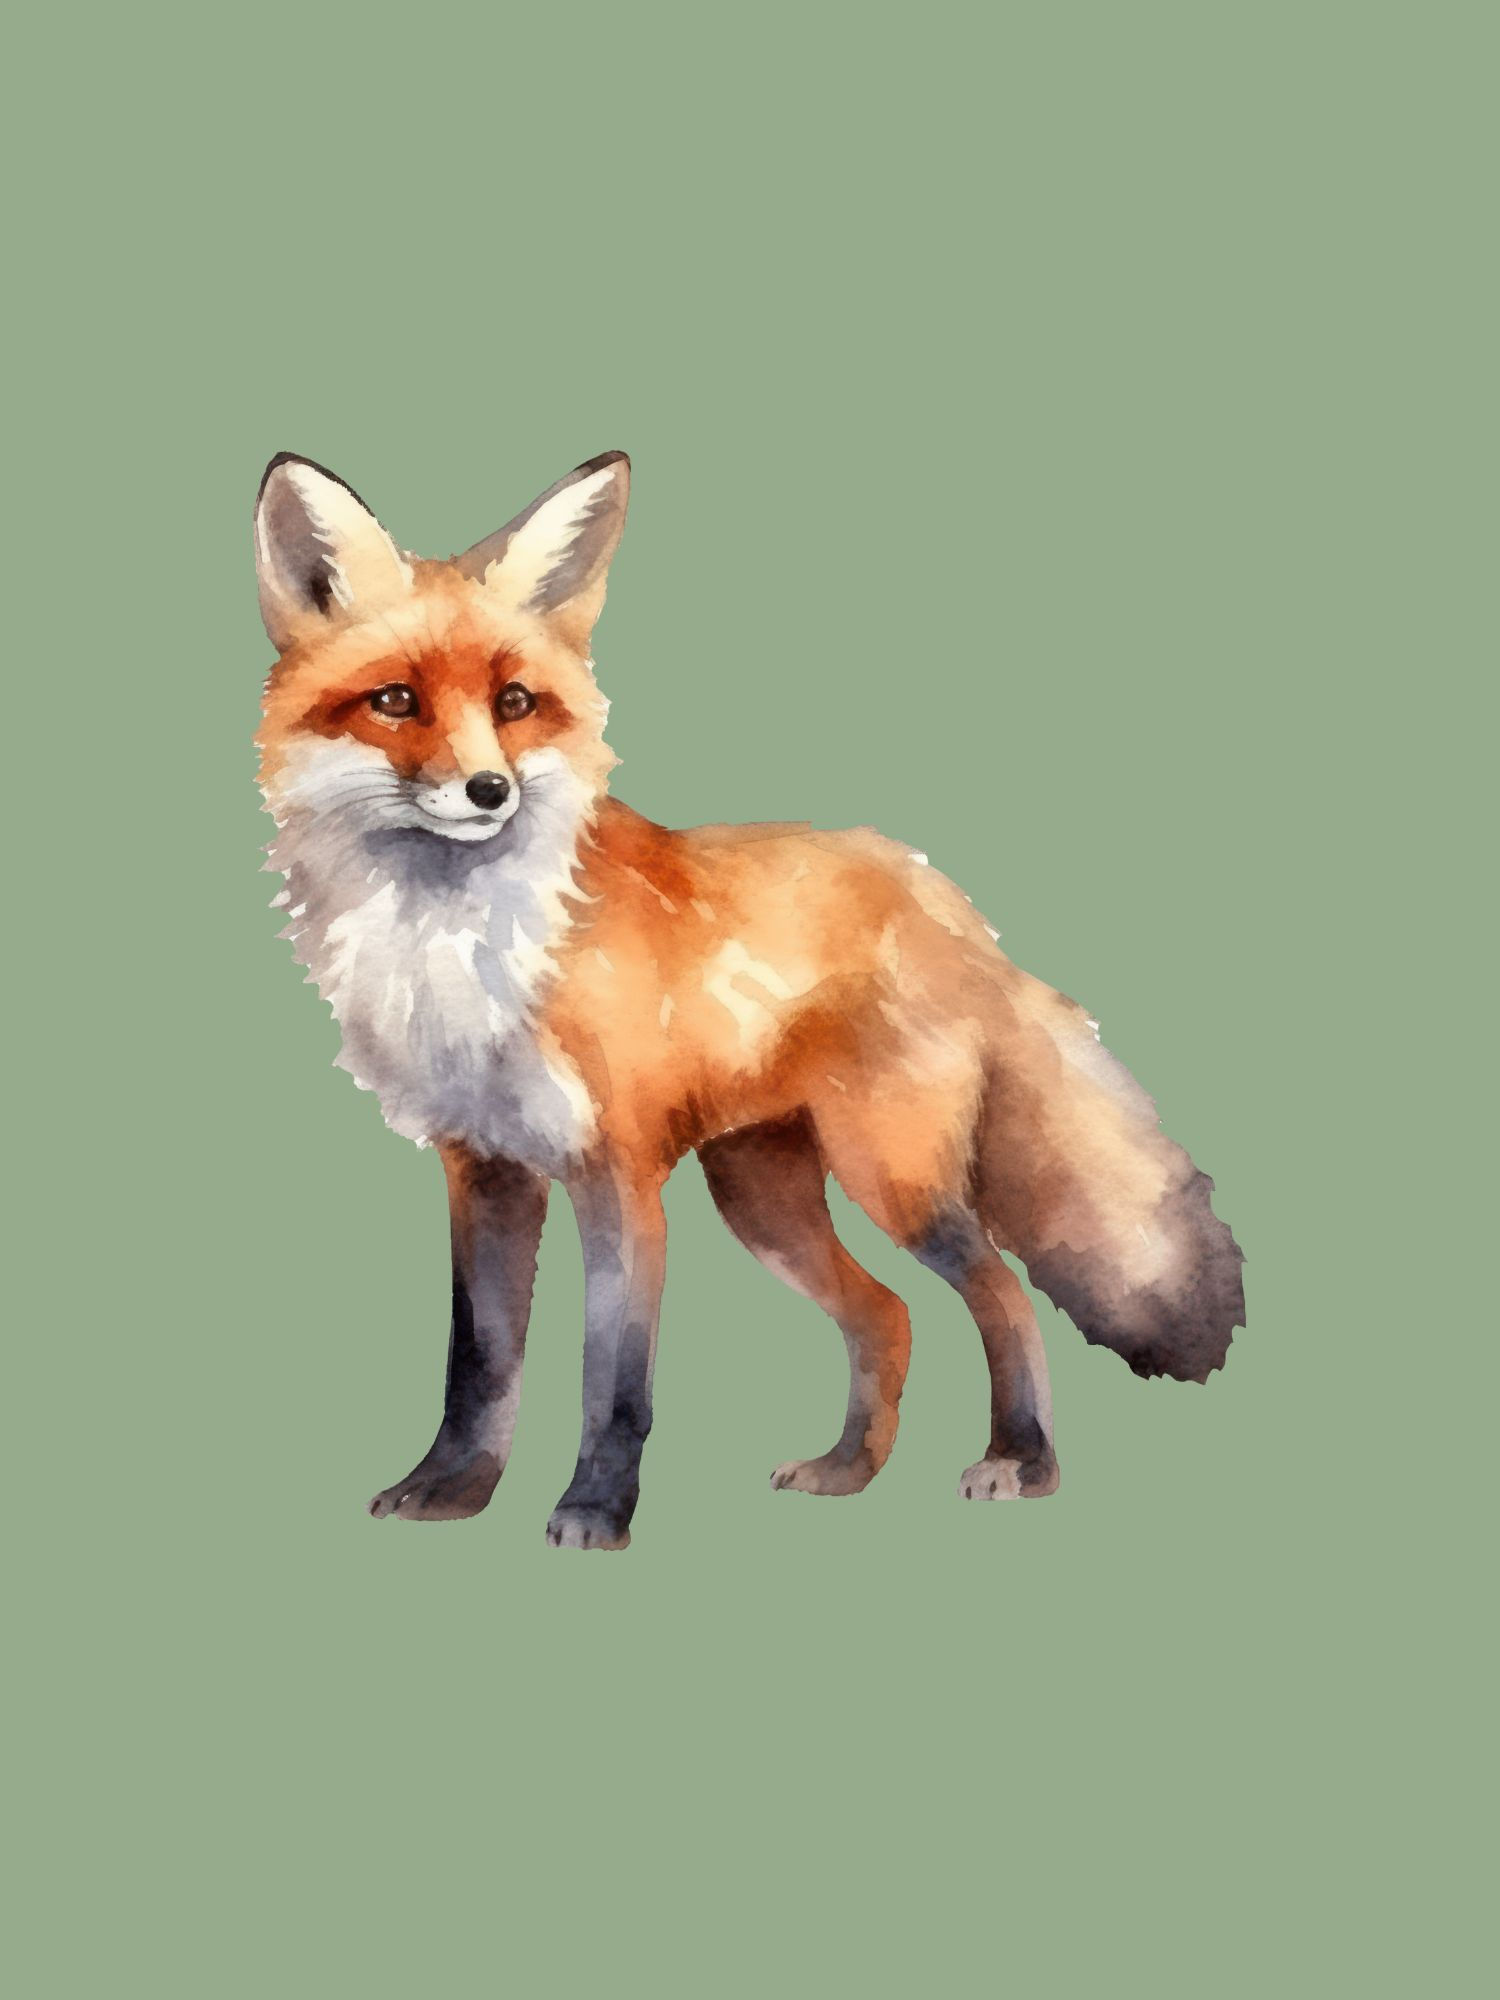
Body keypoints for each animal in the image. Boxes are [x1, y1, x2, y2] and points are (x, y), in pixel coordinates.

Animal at [254, 449, 1245, 1549]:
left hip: (892, 1180)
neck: (461, 942)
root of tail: (942, 896)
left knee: (1003, 1292)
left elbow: (614, 1383)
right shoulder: (486, 1170)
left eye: (514, 702)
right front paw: (452, 1489)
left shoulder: (619, 1178)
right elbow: (479, 1361)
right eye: (394, 700)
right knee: (888, 1314)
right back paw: (848, 1469)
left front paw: (595, 1510)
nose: (488, 791)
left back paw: (1022, 1459)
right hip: (764, 1200)